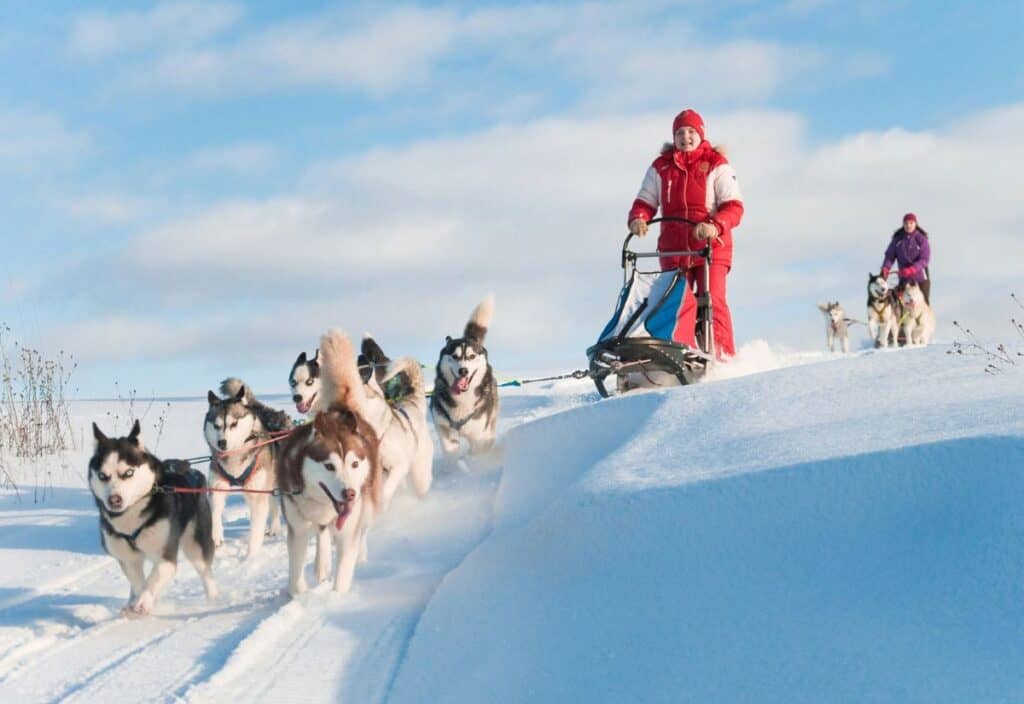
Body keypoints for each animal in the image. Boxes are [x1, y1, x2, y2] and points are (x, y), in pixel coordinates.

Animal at [90, 417, 218, 613]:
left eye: (128, 472)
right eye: (103, 476)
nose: (114, 500)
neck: (131, 520)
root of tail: (192, 471)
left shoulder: (166, 556)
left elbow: (154, 578)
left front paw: (144, 601)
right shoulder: (128, 558)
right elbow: (138, 582)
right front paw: (138, 600)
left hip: (196, 545)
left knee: (206, 572)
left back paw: (213, 599)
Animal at [201, 378, 288, 556]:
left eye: (234, 423)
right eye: (216, 425)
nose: (222, 443)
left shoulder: (256, 495)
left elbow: (255, 531)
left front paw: (251, 556)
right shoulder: (217, 487)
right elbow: (214, 512)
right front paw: (216, 536)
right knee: (273, 504)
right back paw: (274, 528)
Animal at [274, 329, 382, 593]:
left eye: (354, 464)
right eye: (329, 466)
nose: (350, 494)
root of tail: (340, 409)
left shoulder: (348, 529)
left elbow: (342, 576)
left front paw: (334, 598)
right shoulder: (298, 530)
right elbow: (295, 579)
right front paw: (301, 594)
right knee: (322, 533)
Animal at [430, 294, 497, 456]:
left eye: (472, 356)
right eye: (454, 356)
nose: (463, 371)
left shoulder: (478, 435)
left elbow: (477, 451)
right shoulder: (443, 428)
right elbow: (450, 450)